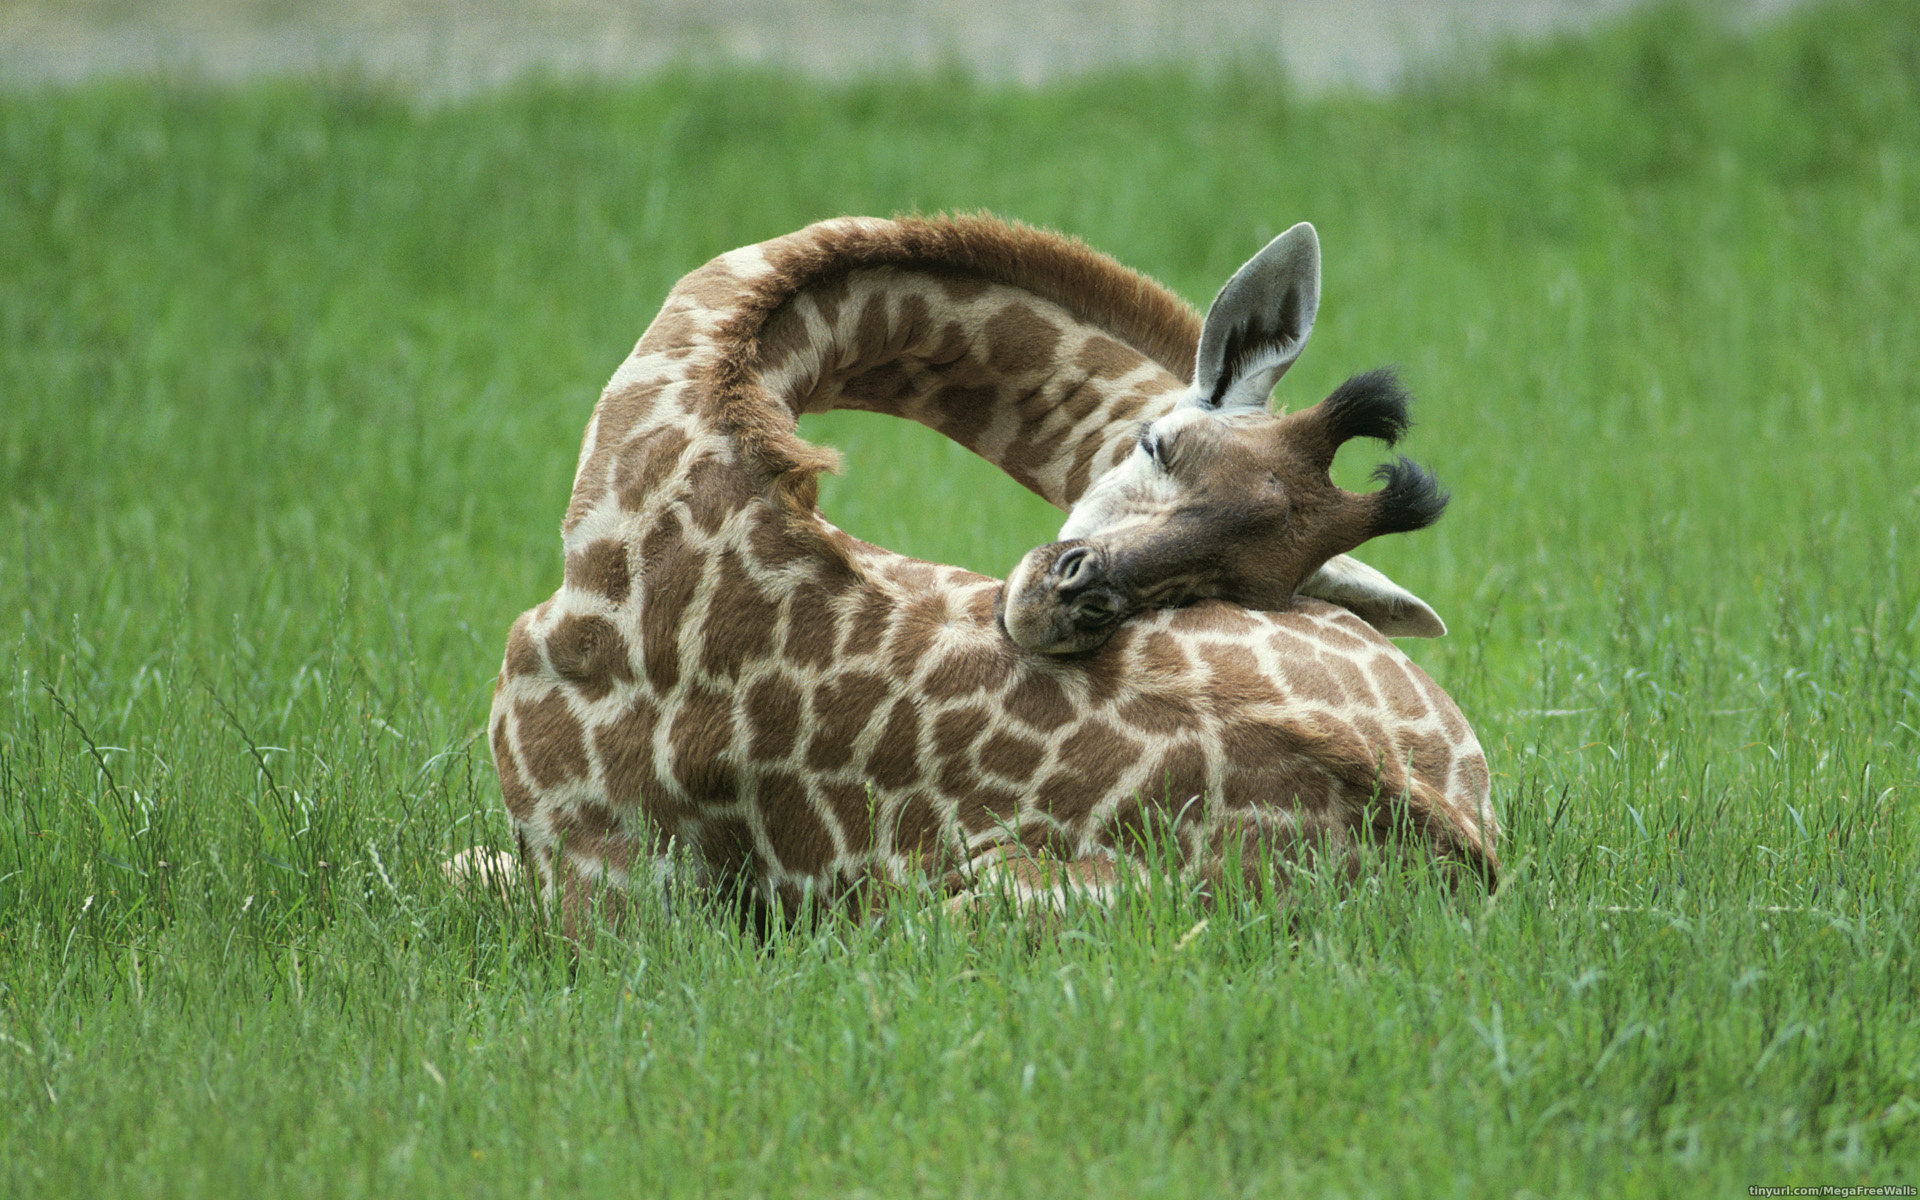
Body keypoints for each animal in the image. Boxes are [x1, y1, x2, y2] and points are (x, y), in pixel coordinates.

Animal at [472, 213, 1489, 925]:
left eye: (1251, 584)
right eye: (1157, 444)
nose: (1069, 602)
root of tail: (1466, 855)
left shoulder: (600, 878)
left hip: (958, 909)